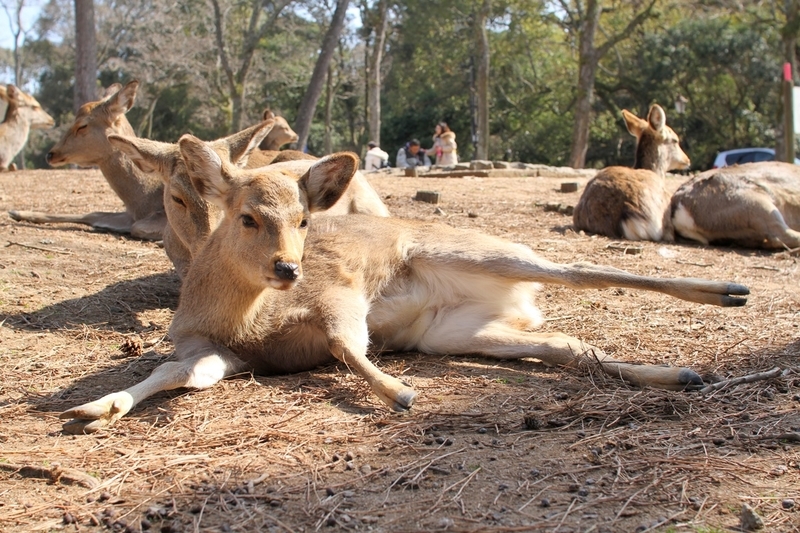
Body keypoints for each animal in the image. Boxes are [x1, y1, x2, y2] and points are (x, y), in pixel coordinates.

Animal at [6, 80, 167, 240]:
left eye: (82, 125)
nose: (50, 154)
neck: (142, 201)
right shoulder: (129, 215)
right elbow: (93, 214)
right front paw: (15, 212)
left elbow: (137, 227)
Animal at [57, 137, 752, 432]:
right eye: (247, 216)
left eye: (305, 220)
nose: (287, 269)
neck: (242, 319)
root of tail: (518, 303)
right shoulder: (221, 353)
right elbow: (171, 373)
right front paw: (94, 408)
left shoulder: (338, 294)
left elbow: (345, 342)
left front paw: (399, 394)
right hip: (460, 334)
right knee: (567, 346)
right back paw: (683, 374)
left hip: (486, 254)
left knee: (578, 268)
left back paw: (732, 290)